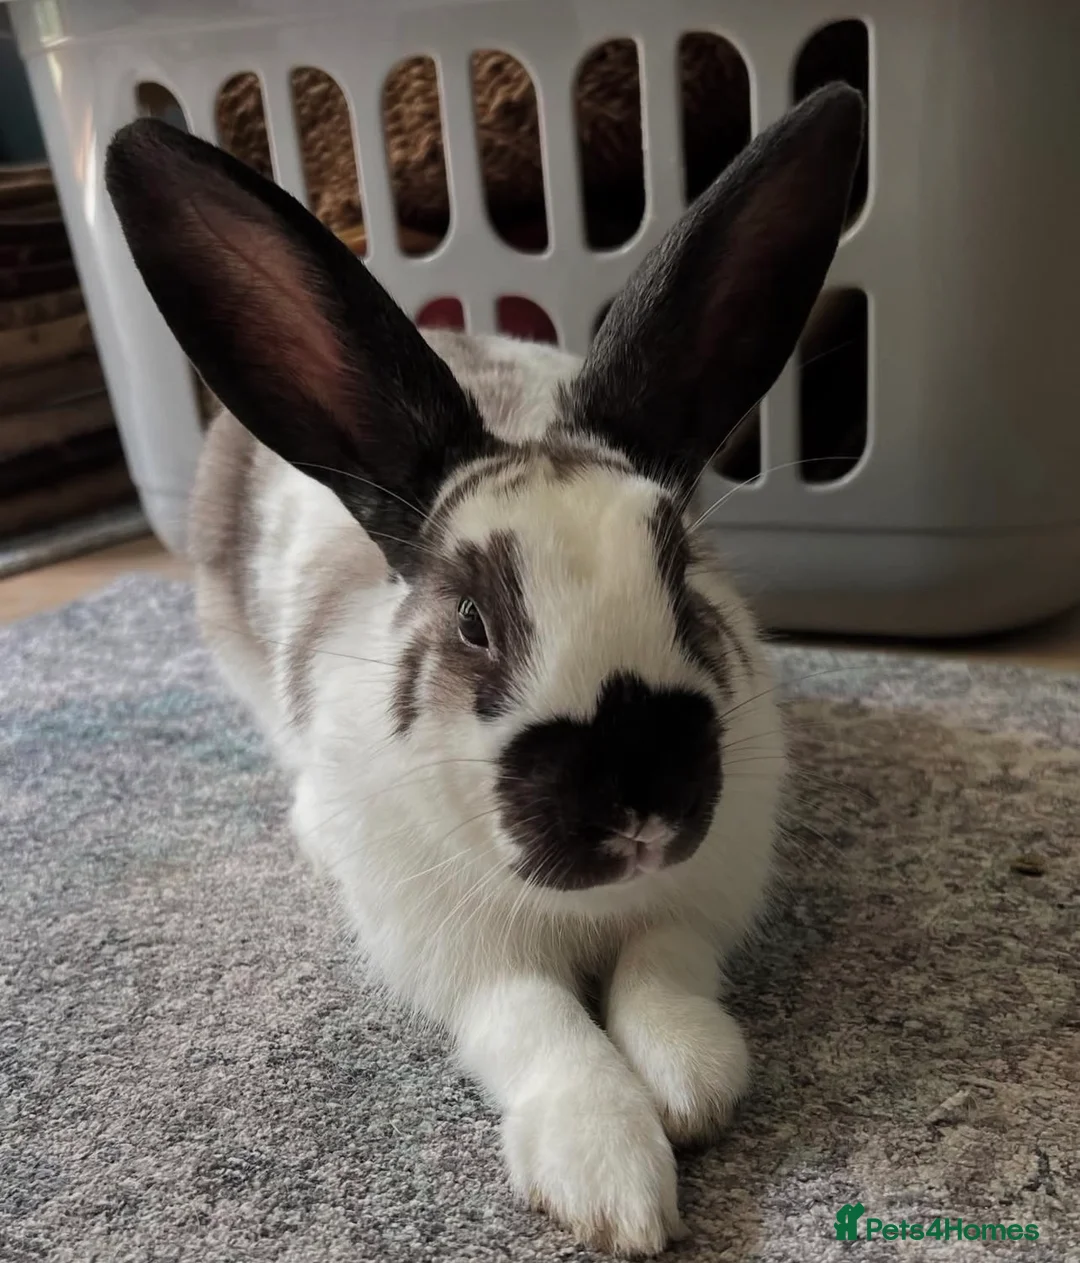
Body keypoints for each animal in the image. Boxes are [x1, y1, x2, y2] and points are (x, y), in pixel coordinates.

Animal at [105, 82, 863, 1255]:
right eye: (471, 622)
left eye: (680, 573)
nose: (638, 802)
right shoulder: (463, 956)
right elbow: (538, 1024)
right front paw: (610, 1177)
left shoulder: (701, 898)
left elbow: (665, 973)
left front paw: (691, 1080)